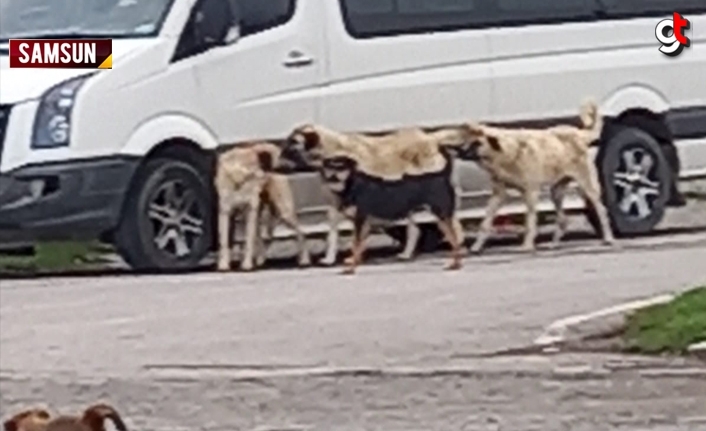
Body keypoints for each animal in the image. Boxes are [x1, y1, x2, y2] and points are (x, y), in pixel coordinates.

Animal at [213, 143, 310, 272]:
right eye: (282, 154)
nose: (302, 163)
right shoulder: (226, 212)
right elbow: (224, 241)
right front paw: (223, 264)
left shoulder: (250, 210)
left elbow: (249, 241)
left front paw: (246, 265)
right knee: (263, 238)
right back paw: (260, 261)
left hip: (284, 211)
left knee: (301, 233)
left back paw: (304, 260)